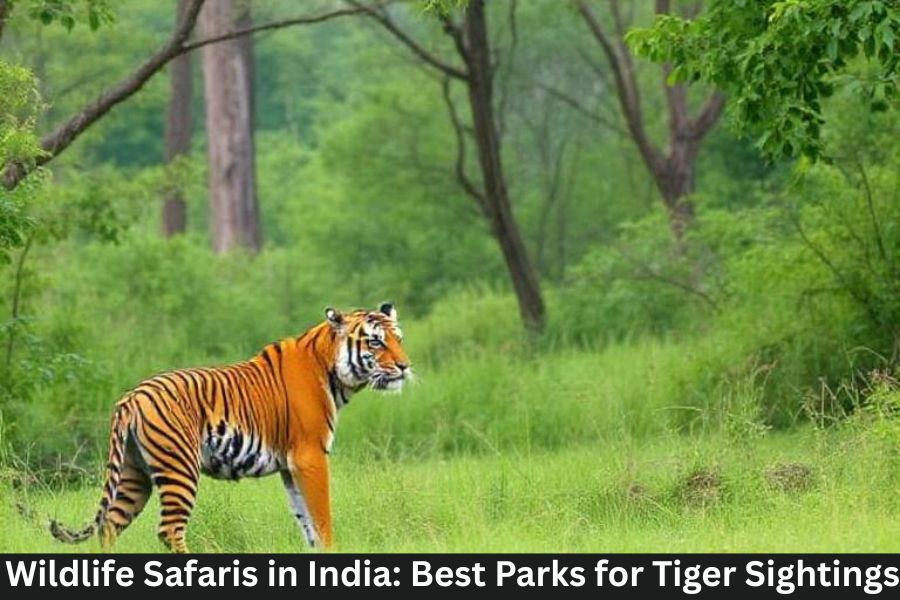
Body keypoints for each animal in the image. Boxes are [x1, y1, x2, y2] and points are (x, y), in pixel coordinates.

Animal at [49, 303, 410, 553]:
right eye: (376, 343)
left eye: (398, 339)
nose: (405, 366)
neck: (333, 371)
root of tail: (131, 397)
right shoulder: (310, 456)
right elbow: (322, 518)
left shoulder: (291, 466)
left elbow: (305, 520)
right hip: (180, 468)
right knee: (169, 530)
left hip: (132, 475)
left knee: (109, 525)